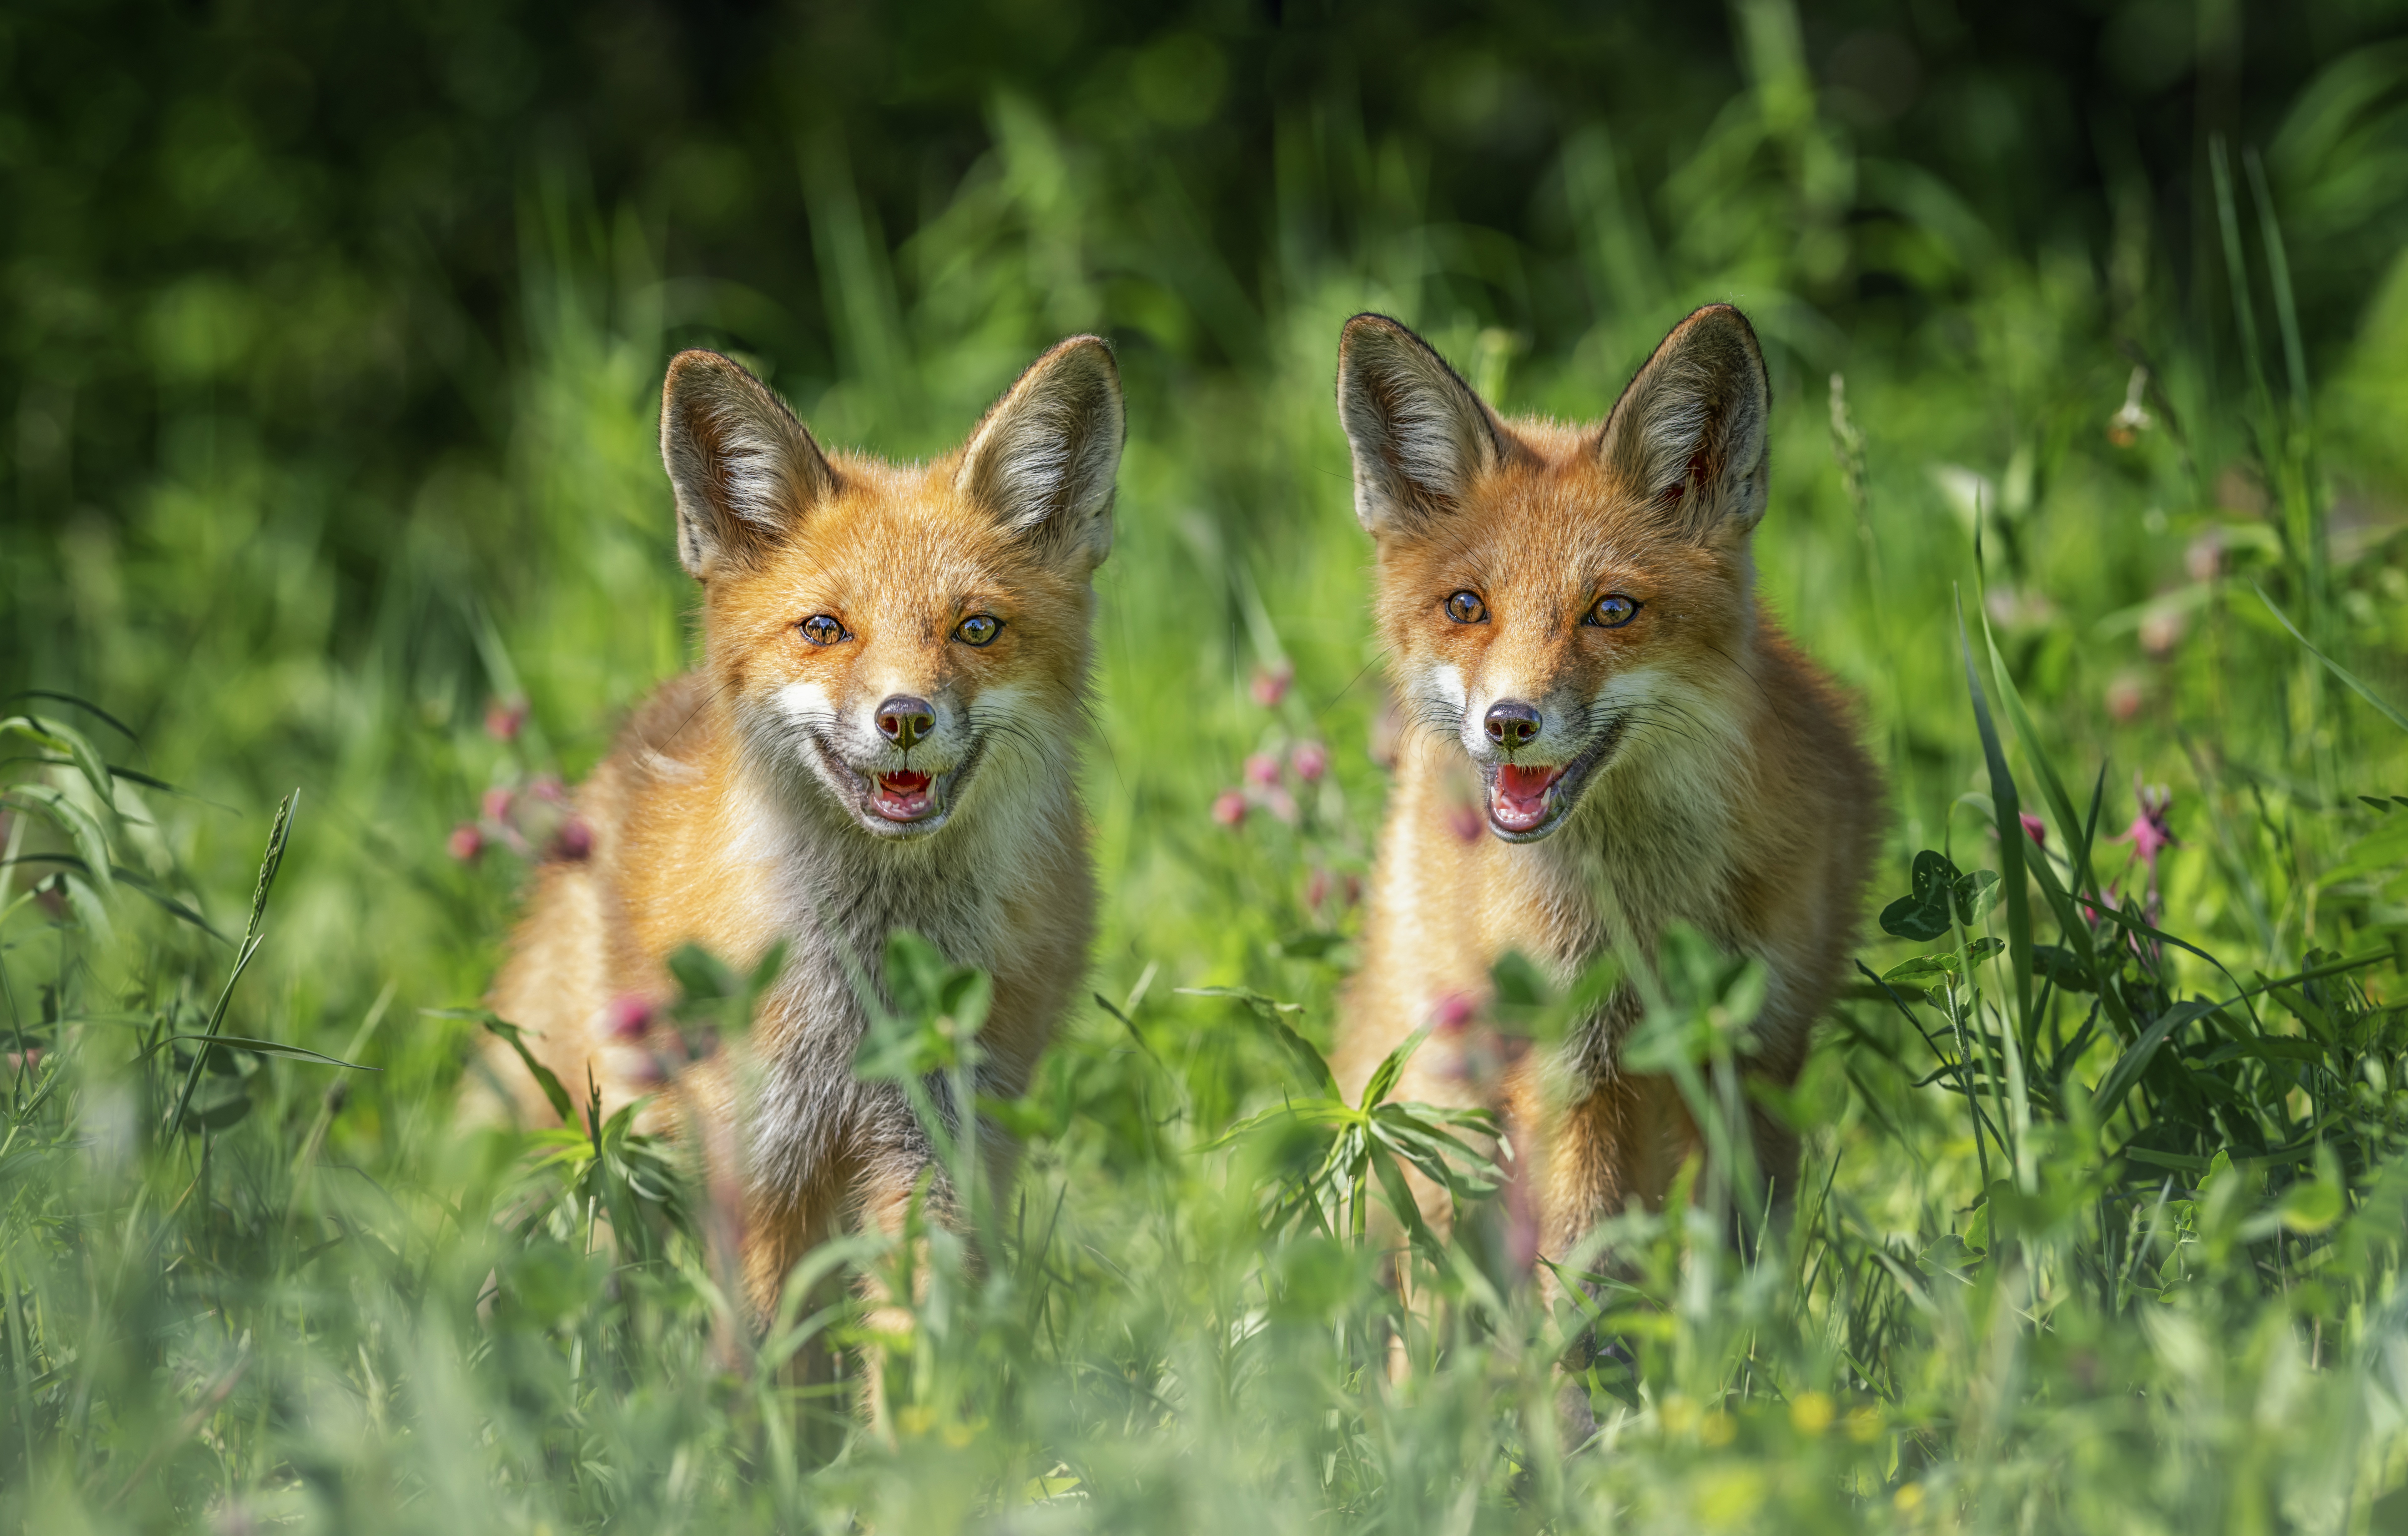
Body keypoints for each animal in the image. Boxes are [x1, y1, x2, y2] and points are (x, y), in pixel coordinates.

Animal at [469, 337, 1127, 1329]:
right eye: (825, 628)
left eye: (976, 628)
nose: (905, 717)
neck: (863, 991)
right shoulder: (763, 1163)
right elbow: (769, 1354)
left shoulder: (935, 1146)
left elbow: (917, 1338)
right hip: (603, 1146)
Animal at [1339, 307, 1878, 1310]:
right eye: (1466, 606)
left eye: (1611, 610)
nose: (1509, 722)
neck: (1648, 910)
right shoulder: (1570, 1067)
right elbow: (1582, 1272)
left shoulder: (1754, 1052)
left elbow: (1733, 1262)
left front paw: (1739, 1351)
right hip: (1447, 1116)